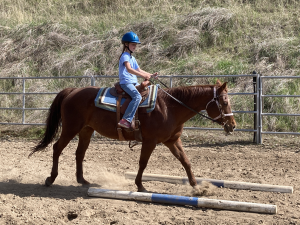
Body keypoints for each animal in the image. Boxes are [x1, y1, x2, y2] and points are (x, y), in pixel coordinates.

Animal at [30, 79, 237, 192]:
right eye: (225, 101)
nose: (233, 125)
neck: (170, 107)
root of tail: (72, 90)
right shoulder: (150, 141)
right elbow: (143, 163)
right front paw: (140, 185)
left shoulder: (172, 140)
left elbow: (185, 161)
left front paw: (197, 186)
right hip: (70, 128)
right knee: (57, 148)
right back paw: (51, 179)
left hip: (86, 130)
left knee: (79, 153)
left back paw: (82, 180)